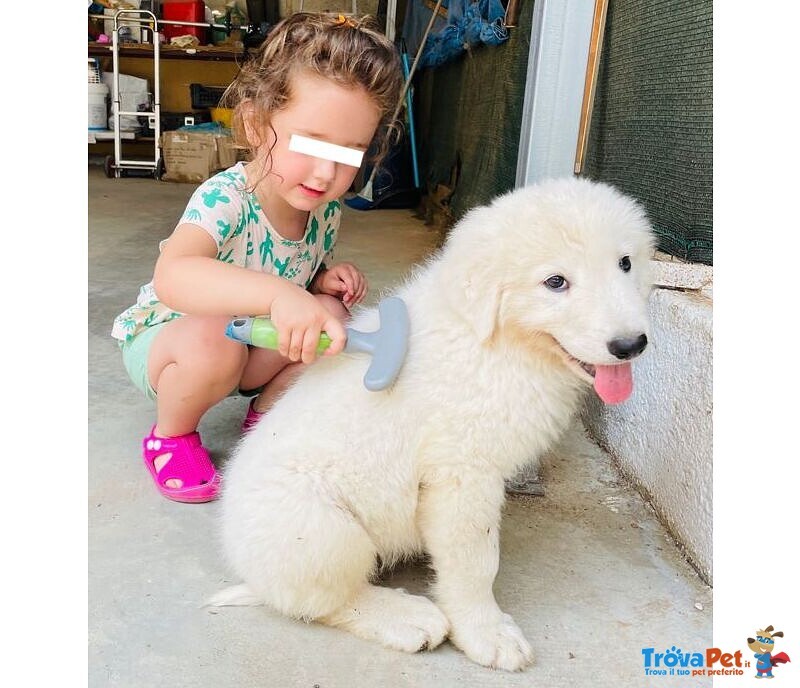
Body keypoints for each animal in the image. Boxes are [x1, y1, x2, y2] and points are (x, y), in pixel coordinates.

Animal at [212, 177, 656, 672]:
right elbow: (475, 561)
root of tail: (248, 571)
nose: (631, 344)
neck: (498, 344)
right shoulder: (461, 473)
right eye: (555, 282)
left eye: (625, 263)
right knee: (318, 600)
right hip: (321, 531)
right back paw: (406, 618)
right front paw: (487, 633)